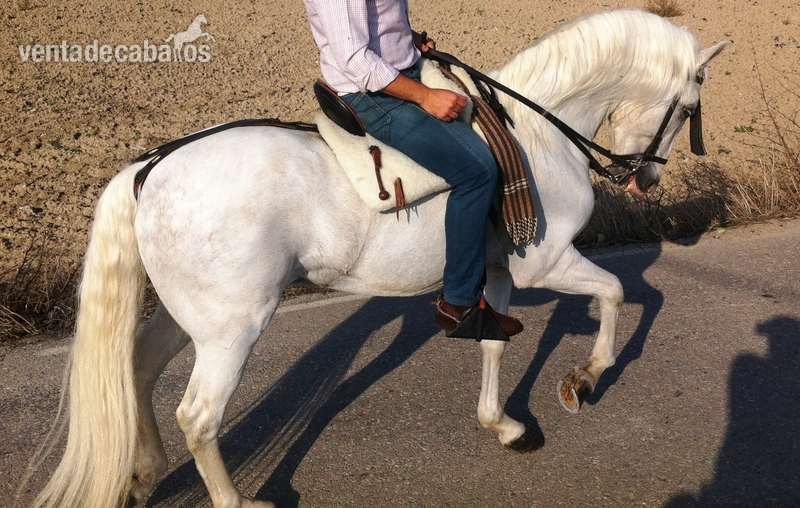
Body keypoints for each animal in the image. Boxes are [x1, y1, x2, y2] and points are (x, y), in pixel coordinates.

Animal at [31, 9, 729, 508]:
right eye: (690, 109)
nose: (646, 179)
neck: (534, 132)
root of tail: (151, 166)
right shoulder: (547, 263)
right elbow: (616, 292)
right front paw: (583, 379)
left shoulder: (498, 272)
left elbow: (494, 343)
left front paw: (501, 424)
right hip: (233, 326)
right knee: (199, 417)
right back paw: (234, 500)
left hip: (189, 315)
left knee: (140, 369)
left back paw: (144, 474)